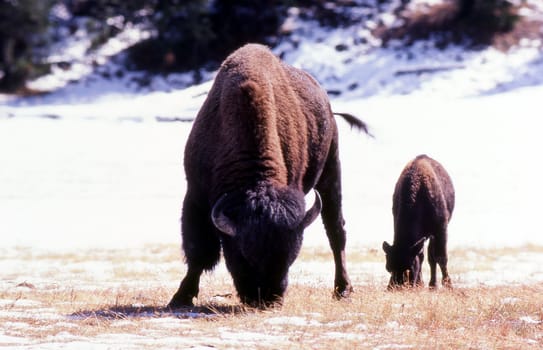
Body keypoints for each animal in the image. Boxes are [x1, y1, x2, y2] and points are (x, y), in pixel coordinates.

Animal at [382, 155, 454, 290]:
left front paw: (448, 284)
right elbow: (421, 256)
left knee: (433, 256)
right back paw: (431, 285)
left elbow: (441, 256)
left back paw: (434, 285)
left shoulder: (441, 229)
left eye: (409, 267)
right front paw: (420, 283)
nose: (394, 287)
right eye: (388, 268)